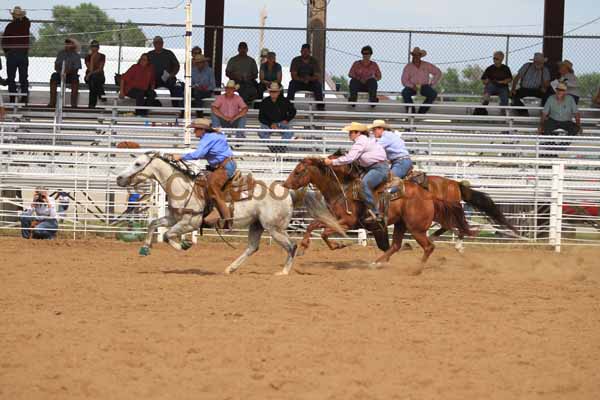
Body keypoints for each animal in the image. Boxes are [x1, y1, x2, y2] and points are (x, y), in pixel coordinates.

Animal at [282, 158, 474, 268]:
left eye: (298, 171)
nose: (285, 184)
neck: (341, 189)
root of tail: (429, 195)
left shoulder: (347, 222)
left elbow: (324, 233)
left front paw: (339, 245)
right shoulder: (333, 219)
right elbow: (313, 226)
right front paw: (303, 247)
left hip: (416, 228)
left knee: (428, 246)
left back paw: (416, 268)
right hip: (401, 224)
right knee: (395, 245)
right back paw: (377, 263)